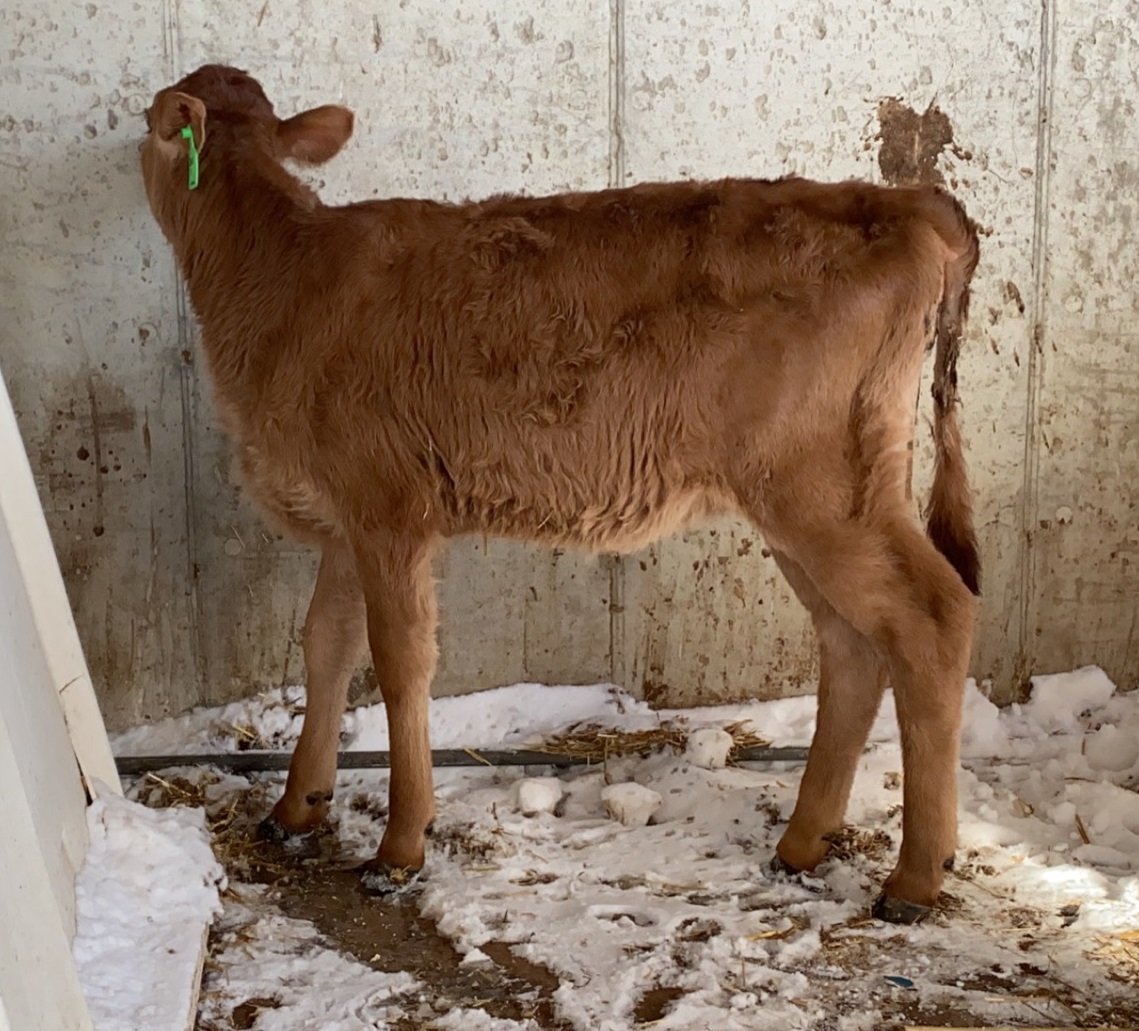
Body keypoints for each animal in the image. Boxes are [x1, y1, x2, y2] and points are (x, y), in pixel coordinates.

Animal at [140, 64, 981, 925]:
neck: (283, 277)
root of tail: (908, 203)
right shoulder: (345, 521)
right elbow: (326, 648)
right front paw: (295, 806)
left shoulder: (388, 510)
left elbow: (400, 663)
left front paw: (400, 847)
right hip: (812, 496)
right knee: (852, 643)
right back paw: (803, 841)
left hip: (824, 490)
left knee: (932, 618)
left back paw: (914, 877)